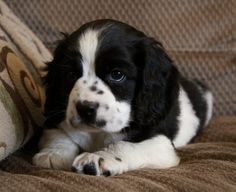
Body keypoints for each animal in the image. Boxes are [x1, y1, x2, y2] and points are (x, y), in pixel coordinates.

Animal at [33, 19, 214, 177]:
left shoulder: (160, 143)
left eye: (117, 74)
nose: (84, 109)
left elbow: (124, 145)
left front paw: (97, 158)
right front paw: (53, 154)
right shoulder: (57, 119)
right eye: (71, 74)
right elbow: (58, 133)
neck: (98, 133)